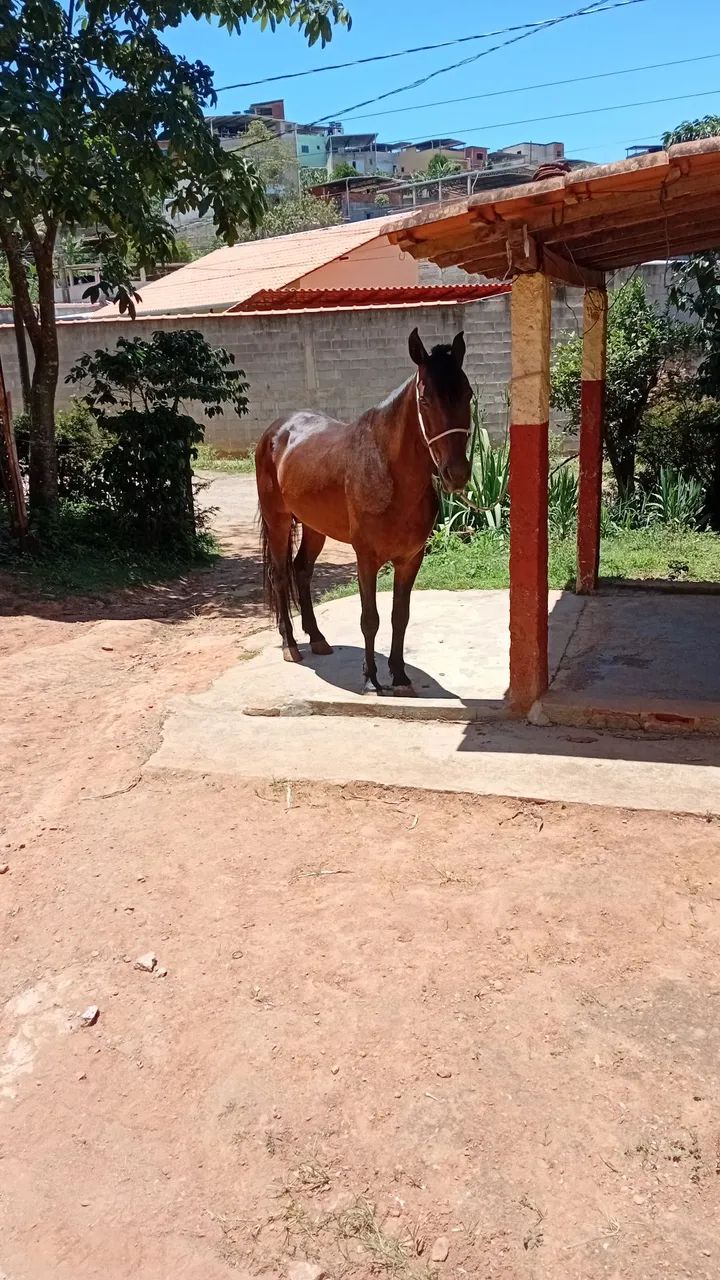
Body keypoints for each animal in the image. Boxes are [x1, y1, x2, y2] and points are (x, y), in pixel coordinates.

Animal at [255, 327, 472, 695]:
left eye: (468, 394)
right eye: (425, 399)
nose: (456, 473)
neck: (388, 473)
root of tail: (275, 431)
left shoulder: (410, 558)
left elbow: (400, 616)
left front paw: (399, 676)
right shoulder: (366, 558)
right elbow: (370, 619)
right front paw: (371, 678)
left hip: (315, 527)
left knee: (302, 570)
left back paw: (317, 638)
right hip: (279, 522)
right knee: (281, 575)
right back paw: (290, 645)